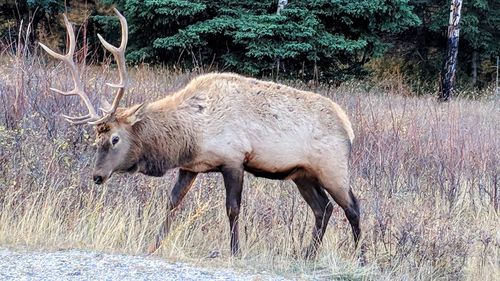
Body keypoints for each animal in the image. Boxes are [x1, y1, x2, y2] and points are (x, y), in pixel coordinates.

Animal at [39, 8, 360, 258]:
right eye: (96, 138)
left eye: (115, 138)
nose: (97, 176)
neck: (190, 135)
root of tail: (348, 126)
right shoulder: (190, 167)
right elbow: (171, 203)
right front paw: (152, 245)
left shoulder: (233, 160)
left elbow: (233, 209)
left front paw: (235, 251)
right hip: (301, 174)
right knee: (323, 209)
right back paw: (307, 255)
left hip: (333, 167)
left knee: (353, 207)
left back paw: (360, 257)